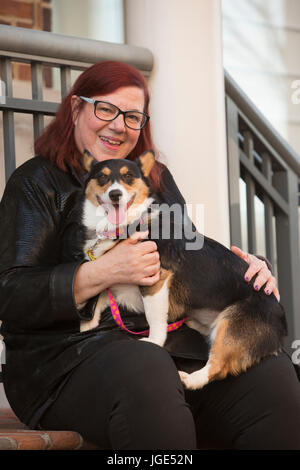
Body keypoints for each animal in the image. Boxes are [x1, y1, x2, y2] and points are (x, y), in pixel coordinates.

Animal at [78, 150, 288, 390]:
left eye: (128, 176)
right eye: (102, 177)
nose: (115, 194)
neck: (124, 226)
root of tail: (282, 318)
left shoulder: (155, 280)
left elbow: (154, 319)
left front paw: (153, 341)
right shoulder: (112, 276)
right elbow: (98, 298)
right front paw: (86, 328)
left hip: (231, 326)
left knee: (218, 367)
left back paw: (190, 379)